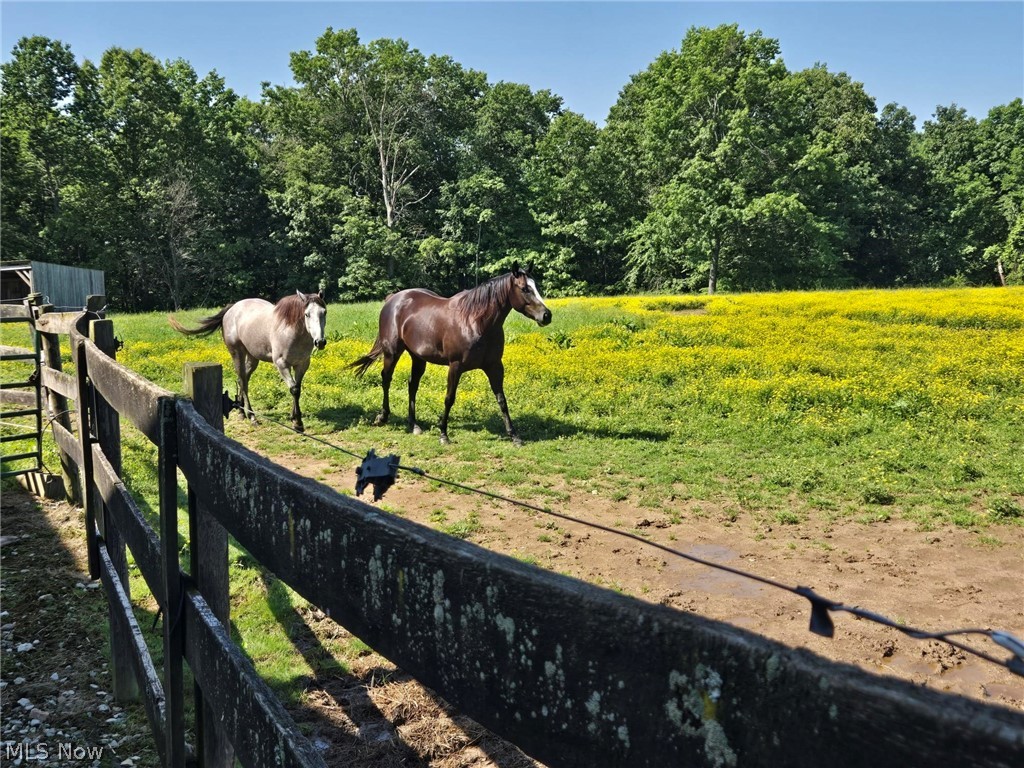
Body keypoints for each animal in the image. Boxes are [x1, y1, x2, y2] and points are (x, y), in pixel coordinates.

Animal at [169, 291, 327, 433]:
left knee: (243, 380)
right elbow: (293, 389)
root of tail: (232, 308)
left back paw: (241, 411)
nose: (320, 342)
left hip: (252, 357)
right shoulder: (282, 364)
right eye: (307, 314)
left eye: (324, 312)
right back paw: (251, 416)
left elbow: (297, 390)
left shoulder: (302, 365)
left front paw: (295, 419)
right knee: (242, 379)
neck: (290, 331)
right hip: (237, 353)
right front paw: (298, 423)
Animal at [349, 266, 552, 445]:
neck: (476, 322)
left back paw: (414, 425)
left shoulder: (494, 366)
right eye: (525, 288)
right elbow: (449, 399)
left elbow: (502, 400)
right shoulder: (455, 366)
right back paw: (382, 417)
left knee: (412, 385)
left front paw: (515, 436)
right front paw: (443, 435)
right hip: (392, 352)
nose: (546, 315)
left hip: (418, 358)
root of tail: (393, 299)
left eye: (535, 286)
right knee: (386, 379)